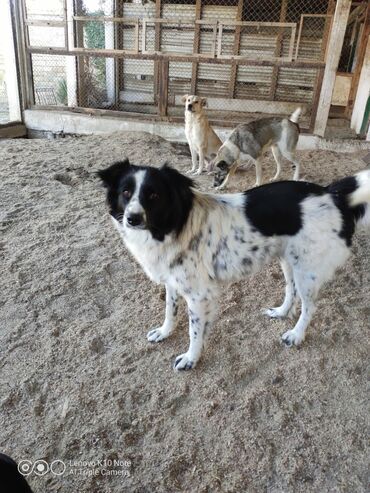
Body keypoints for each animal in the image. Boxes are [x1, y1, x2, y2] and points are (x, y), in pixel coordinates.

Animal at [98, 160, 370, 368]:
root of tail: (332, 193)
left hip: (307, 272)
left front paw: (191, 358)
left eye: (153, 195)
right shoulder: (173, 282)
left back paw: (296, 335)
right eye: (125, 193)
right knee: (290, 290)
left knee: (309, 306)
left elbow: (194, 331)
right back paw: (281, 312)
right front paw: (164, 332)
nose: (132, 218)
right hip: (289, 260)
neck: (174, 224)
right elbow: (169, 310)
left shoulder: (199, 295)